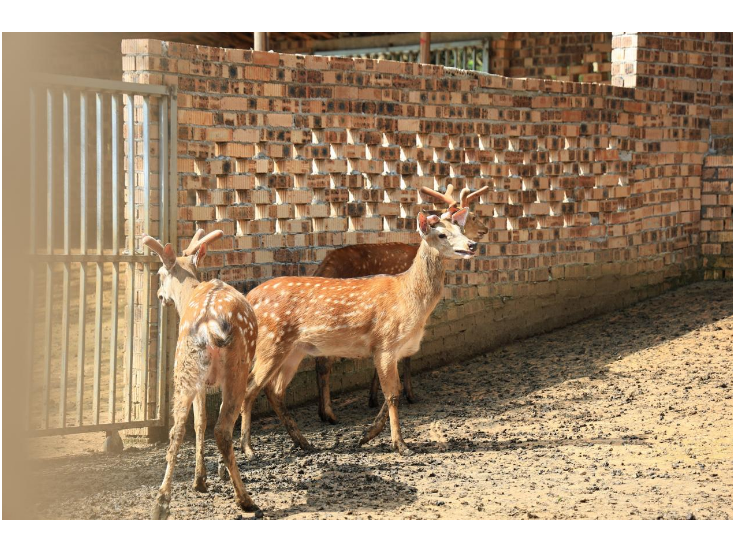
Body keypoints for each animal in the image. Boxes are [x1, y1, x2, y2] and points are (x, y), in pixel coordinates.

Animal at [142, 229, 262, 520]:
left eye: (160, 274)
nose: (160, 294)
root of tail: (209, 325)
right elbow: (210, 420)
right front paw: (216, 473)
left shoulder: (199, 382)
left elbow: (199, 422)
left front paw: (200, 479)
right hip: (237, 368)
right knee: (222, 429)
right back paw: (245, 499)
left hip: (184, 368)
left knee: (176, 430)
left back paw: (161, 502)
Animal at [239, 208, 477, 459]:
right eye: (441, 234)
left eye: (461, 229)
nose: (472, 245)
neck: (409, 299)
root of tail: (249, 298)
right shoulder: (385, 343)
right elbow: (392, 395)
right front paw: (400, 445)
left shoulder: (394, 350)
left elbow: (393, 392)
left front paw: (366, 436)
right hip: (271, 343)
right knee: (250, 389)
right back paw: (248, 448)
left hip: (294, 350)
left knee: (275, 390)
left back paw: (303, 442)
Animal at [313, 185, 490, 424]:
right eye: (471, 216)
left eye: (462, 228)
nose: (482, 233)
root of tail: (322, 267)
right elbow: (406, 355)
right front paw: (410, 394)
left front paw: (373, 398)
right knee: (324, 362)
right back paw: (329, 414)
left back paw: (322, 411)